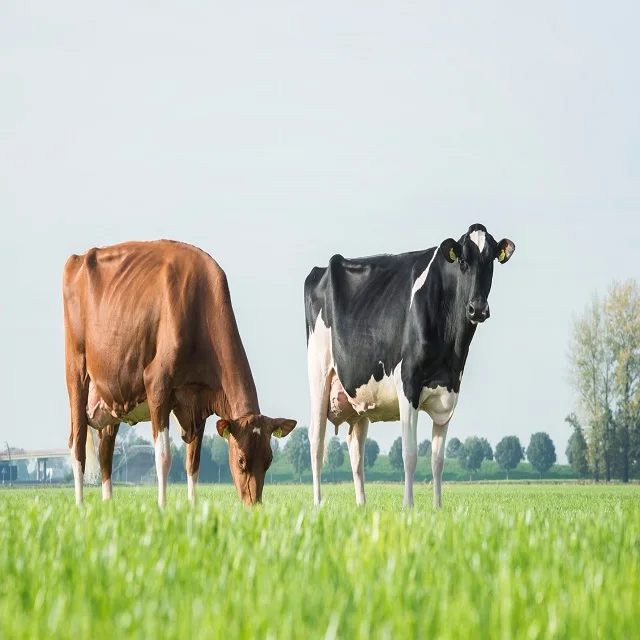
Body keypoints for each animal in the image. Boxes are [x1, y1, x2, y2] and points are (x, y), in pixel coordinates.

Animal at [63, 240, 296, 508]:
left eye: (269, 460)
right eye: (241, 460)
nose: (254, 506)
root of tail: (79, 258)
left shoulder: (199, 401)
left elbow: (193, 463)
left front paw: (193, 507)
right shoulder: (157, 384)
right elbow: (163, 457)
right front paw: (162, 507)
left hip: (111, 396)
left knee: (105, 452)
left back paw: (108, 502)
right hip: (76, 371)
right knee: (77, 446)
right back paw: (80, 505)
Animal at [304, 224, 515, 508]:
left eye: (490, 260)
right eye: (462, 261)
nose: (478, 309)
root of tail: (321, 269)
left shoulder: (450, 391)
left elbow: (437, 460)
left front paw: (437, 508)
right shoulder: (408, 383)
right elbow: (410, 454)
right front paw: (408, 506)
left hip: (358, 395)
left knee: (356, 449)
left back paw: (361, 506)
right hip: (319, 374)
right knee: (316, 441)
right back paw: (317, 504)